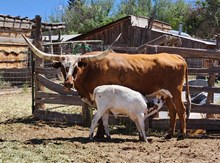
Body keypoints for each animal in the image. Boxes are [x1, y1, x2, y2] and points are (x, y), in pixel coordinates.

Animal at [21, 33, 191, 140]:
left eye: (76, 67)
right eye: (63, 67)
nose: (68, 83)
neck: (91, 69)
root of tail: (176, 55)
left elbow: (101, 117)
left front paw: (98, 135)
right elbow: (103, 117)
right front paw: (101, 134)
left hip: (176, 91)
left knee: (181, 110)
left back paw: (181, 135)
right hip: (166, 94)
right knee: (172, 111)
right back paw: (169, 134)